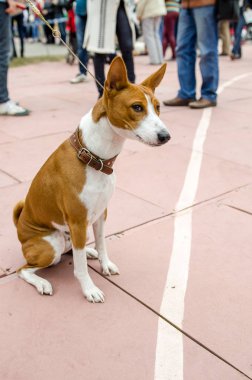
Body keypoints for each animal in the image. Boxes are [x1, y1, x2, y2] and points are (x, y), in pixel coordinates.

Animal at [12, 56, 170, 302]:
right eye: (137, 107)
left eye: (158, 107)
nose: (166, 136)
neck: (93, 157)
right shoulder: (78, 220)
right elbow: (80, 268)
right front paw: (89, 289)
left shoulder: (101, 214)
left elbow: (102, 243)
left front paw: (104, 263)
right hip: (52, 245)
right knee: (24, 269)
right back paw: (42, 283)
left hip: (72, 234)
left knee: (73, 250)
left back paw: (88, 250)